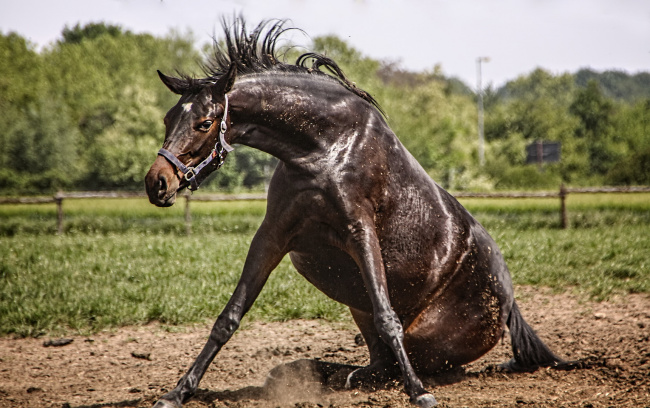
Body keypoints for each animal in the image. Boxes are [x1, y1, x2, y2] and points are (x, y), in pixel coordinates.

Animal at [144, 19, 564, 408]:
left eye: (204, 123)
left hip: (432, 340)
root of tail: (509, 304)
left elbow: (388, 318)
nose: (157, 183)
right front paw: (177, 392)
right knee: (376, 363)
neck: (324, 147)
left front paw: (419, 393)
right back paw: (321, 373)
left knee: (417, 361)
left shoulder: (360, 232)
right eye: (167, 119)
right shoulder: (272, 235)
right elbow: (228, 317)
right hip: (357, 309)